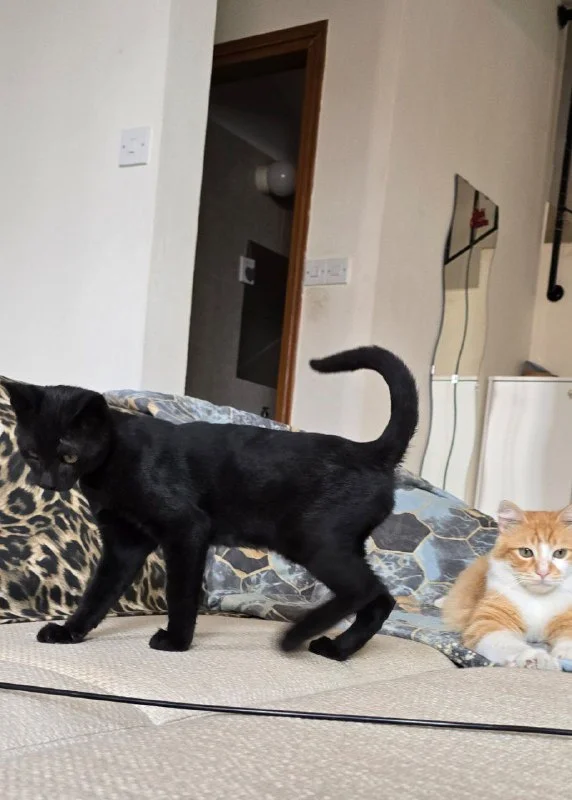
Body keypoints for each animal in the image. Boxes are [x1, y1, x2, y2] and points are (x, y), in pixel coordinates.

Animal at [4, 346, 418, 661]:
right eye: (32, 454)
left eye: (68, 456)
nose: (47, 482)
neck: (113, 460)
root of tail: (369, 452)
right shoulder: (124, 544)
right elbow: (98, 594)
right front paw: (70, 631)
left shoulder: (185, 529)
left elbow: (181, 592)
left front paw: (176, 642)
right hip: (339, 546)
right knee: (380, 599)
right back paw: (337, 649)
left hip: (314, 541)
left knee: (362, 590)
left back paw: (295, 636)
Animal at [440, 500, 572, 669]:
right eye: (525, 552)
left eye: (560, 553)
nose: (542, 572)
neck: (538, 598)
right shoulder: (489, 620)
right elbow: (510, 644)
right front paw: (536, 657)